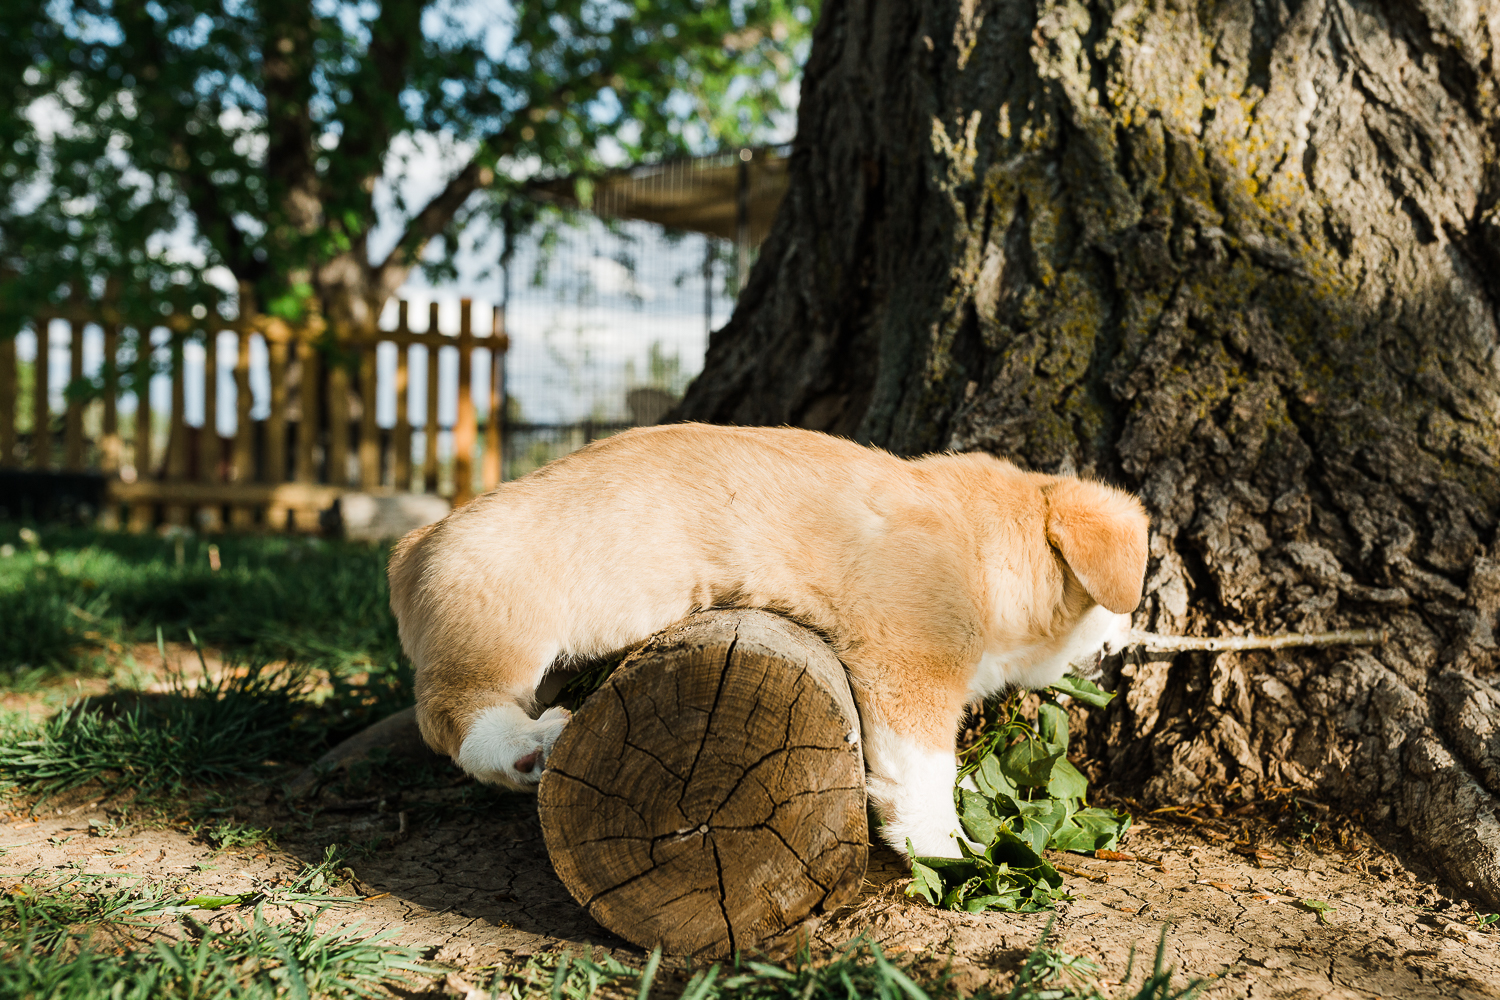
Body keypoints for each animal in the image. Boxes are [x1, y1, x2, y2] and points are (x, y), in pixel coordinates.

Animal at [390, 422, 1146, 863]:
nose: (1131, 640)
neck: (985, 545)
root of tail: (415, 541)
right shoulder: (912, 673)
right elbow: (927, 775)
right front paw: (947, 850)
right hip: (502, 634)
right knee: (451, 716)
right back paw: (524, 746)